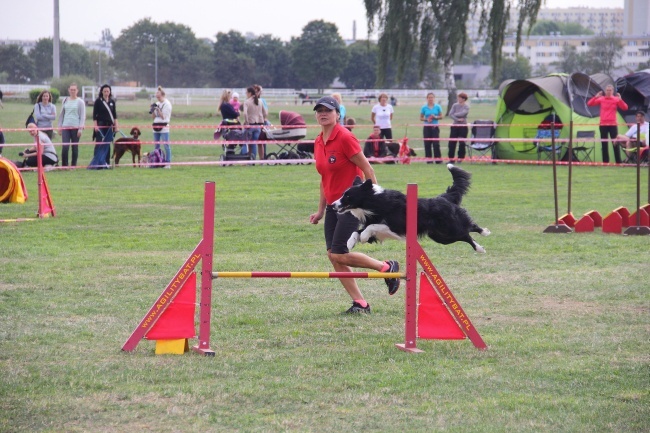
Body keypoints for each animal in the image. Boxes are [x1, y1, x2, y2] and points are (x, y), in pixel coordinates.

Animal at [332, 165, 488, 253]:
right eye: (343, 194)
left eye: (348, 196)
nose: (333, 205)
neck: (376, 203)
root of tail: (444, 197)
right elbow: (356, 231)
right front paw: (349, 243)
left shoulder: (395, 226)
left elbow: (371, 227)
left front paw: (363, 237)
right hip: (440, 236)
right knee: (465, 232)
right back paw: (482, 237)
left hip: (449, 228)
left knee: (467, 231)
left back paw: (481, 243)